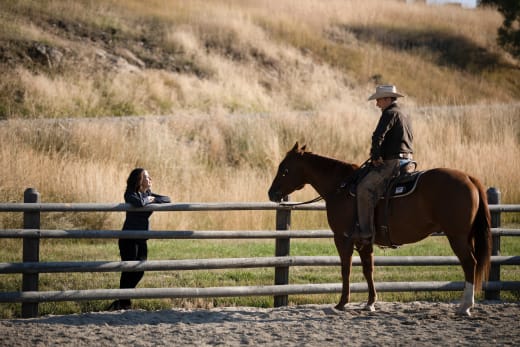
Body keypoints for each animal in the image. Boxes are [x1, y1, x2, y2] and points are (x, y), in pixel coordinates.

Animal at [268, 143, 492, 316]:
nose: (271, 193)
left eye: (284, 169)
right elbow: (368, 269)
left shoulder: (343, 238)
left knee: (469, 264)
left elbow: (346, 269)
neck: (341, 187)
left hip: (457, 236)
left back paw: (465, 306)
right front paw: (370, 303)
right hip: (465, 236)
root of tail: (469, 177)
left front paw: (342, 303)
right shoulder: (364, 240)